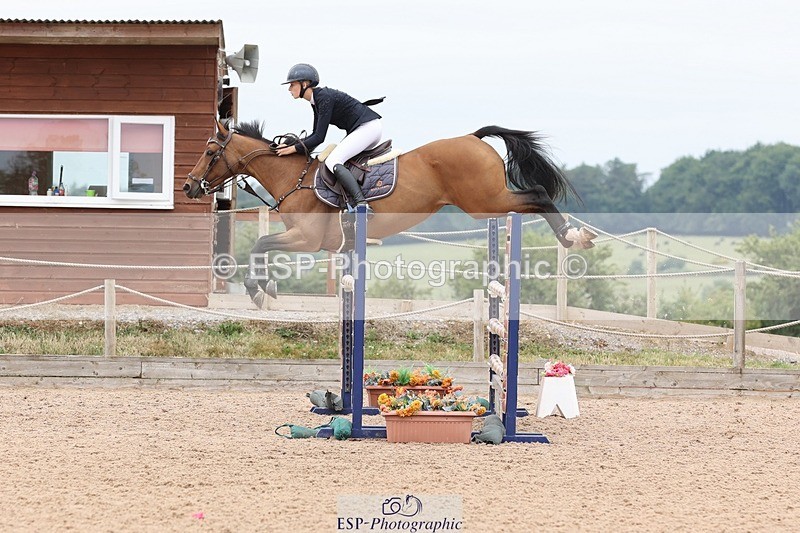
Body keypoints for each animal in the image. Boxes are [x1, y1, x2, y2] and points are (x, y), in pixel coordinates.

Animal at [184, 120, 597, 308]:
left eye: (210, 151)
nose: (189, 187)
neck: (293, 177)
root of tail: (473, 137)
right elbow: (263, 246)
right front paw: (264, 287)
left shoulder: (307, 239)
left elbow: (260, 244)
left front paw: (258, 290)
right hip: (487, 202)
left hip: (486, 202)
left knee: (538, 194)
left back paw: (572, 236)